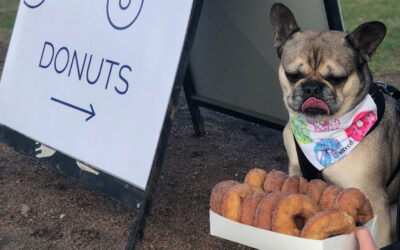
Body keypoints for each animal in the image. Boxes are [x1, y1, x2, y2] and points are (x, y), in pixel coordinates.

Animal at [268, 2, 400, 247]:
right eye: (293, 75)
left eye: (337, 79)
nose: (311, 87)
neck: (324, 131)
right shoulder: (297, 172)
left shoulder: (374, 199)